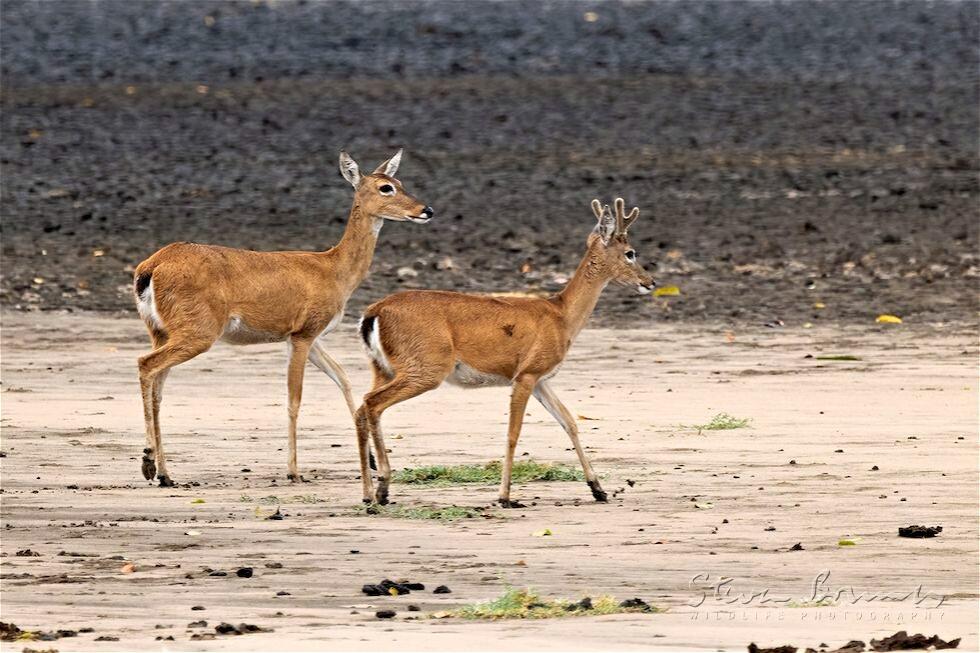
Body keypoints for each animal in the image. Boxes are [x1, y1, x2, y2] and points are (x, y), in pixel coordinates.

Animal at [133, 149, 433, 487]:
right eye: (386, 187)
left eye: (400, 181)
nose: (426, 210)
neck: (334, 271)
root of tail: (151, 268)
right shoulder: (303, 333)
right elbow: (294, 400)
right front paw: (293, 470)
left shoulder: (309, 337)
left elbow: (343, 377)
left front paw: (368, 460)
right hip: (197, 331)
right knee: (146, 364)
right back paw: (148, 461)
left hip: (160, 330)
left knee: (158, 389)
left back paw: (164, 473)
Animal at [354, 198, 654, 507]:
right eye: (630, 253)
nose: (650, 282)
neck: (561, 316)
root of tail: (373, 313)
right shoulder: (526, 374)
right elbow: (513, 433)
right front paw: (505, 496)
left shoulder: (541, 378)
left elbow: (569, 422)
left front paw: (598, 488)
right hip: (425, 366)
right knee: (372, 403)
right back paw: (383, 487)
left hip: (382, 366)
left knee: (361, 408)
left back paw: (368, 493)